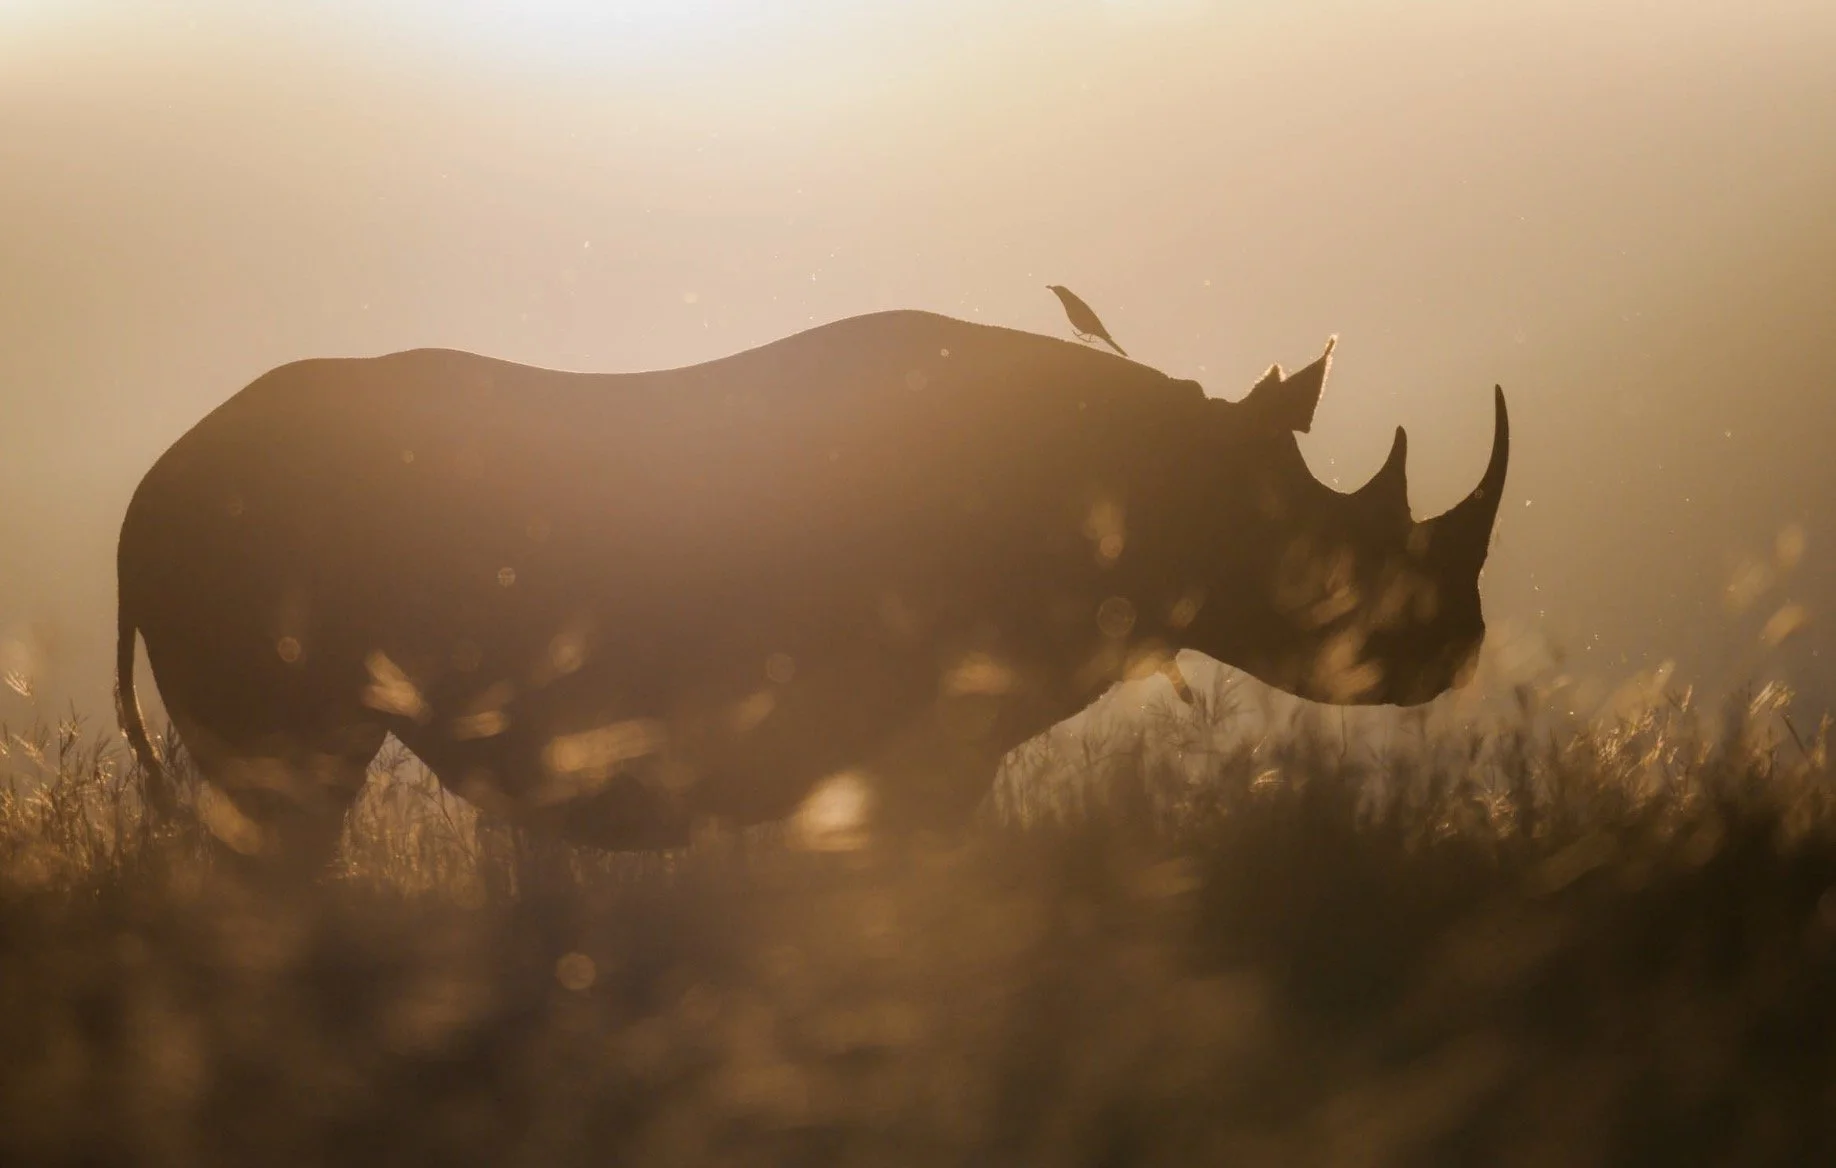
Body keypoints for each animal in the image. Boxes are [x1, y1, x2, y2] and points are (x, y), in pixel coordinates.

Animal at [115, 309, 1507, 871]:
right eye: (1342, 558)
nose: (1458, 649)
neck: (1173, 477)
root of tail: (144, 493)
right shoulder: (916, 740)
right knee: (283, 808)